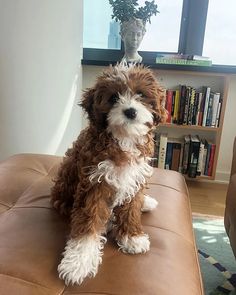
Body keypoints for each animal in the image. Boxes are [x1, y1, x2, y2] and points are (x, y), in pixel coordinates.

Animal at [51, 63, 167, 286]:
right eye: (113, 98)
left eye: (141, 94)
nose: (130, 111)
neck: (124, 139)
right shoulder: (95, 183)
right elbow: (89, 222)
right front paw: (77, 263)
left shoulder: (134, 177)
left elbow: (131, 209)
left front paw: (132, 237)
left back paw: (146, 202)